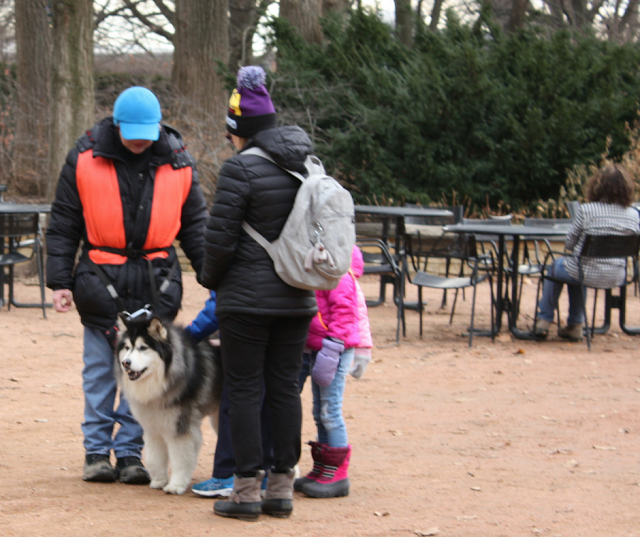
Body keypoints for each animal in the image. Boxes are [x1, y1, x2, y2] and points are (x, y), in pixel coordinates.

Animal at [115, 314, 222, 494]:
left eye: (143, 348)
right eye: (127, 347)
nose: (125, 363)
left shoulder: (181, 427)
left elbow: (180, 458)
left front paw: (176, 485)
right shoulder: (152, 427)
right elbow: (154, 457)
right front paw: (159, 481)